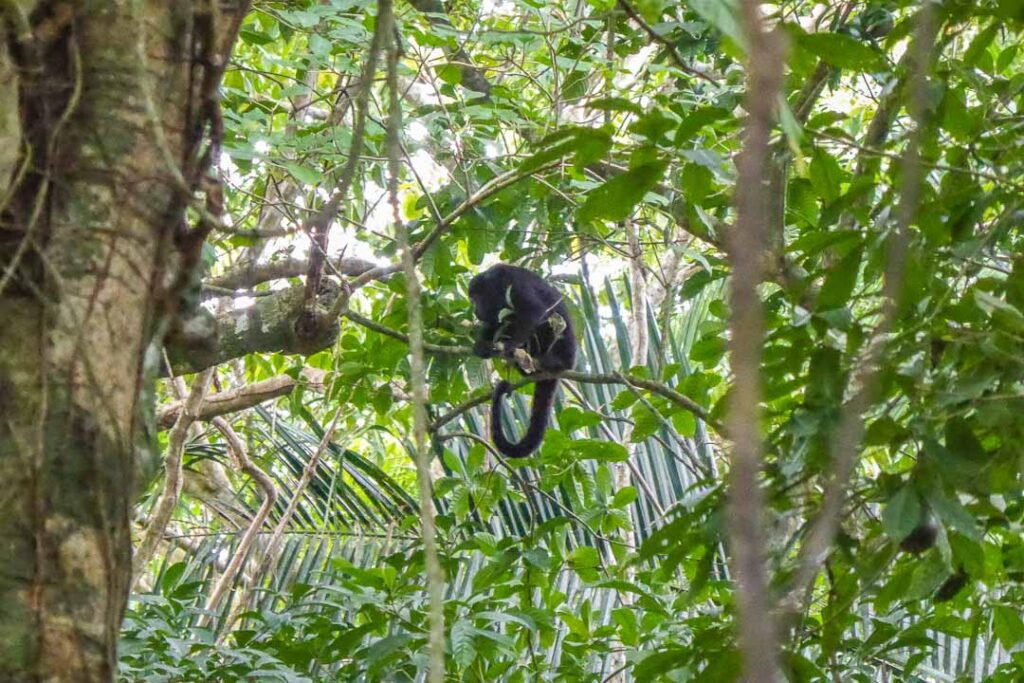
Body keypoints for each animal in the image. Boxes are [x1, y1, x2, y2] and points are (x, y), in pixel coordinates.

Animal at [468, 264, 577, 458]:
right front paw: (481, 345)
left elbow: (533, 313)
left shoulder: (514, 286)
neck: (497, 283)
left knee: (548, 321)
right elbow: (494, 323)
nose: (474, 309)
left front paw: (509, 345)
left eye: (476, 298)